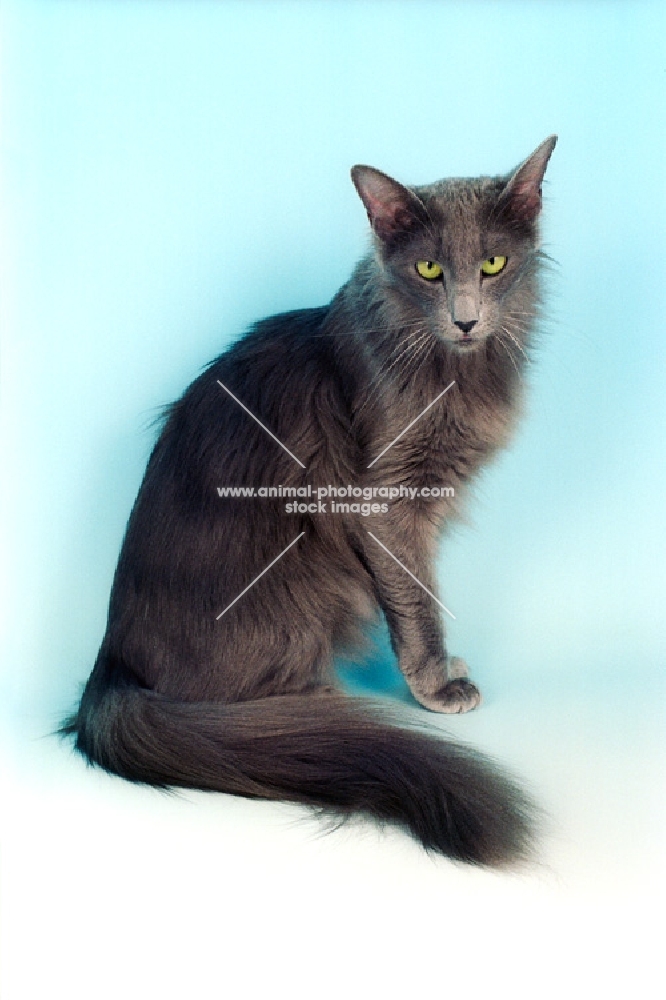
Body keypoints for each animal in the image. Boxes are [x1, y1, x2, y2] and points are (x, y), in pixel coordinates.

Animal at [65, 135, 556, 868]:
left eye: (493, 264)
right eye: (430, 269)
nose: (466, 319)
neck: (454, 373)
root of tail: (111, 667)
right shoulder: (385, 499)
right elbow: (417, 601)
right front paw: (437, 684)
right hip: (301, 582)